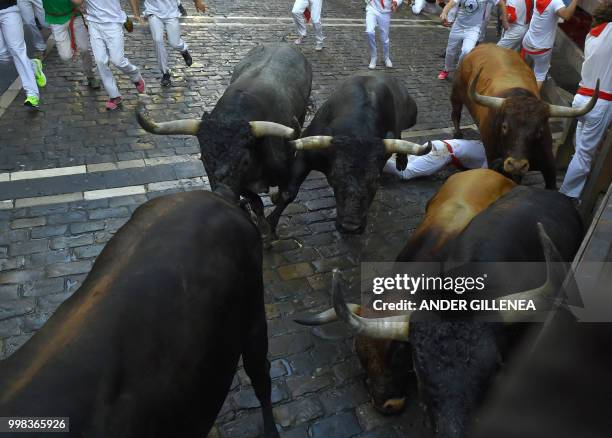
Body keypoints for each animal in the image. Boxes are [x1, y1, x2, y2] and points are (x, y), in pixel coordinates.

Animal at [137, 43, 314, 241]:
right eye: (204, 159)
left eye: (245, 161)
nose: (222, 195)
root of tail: (283, 43)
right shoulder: (238, 185)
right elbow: (256, 202)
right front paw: (262, 225)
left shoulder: (285, 169)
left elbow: (287, 195)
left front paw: (271, 228)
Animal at [450, 43, 596, 189]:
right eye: (504, 126)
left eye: (540, 131)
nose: (517, 165)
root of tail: (484, 45)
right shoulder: (494, 160)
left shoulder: (549, 165)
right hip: (456, 94)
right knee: (455, 113)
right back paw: (458, 134)